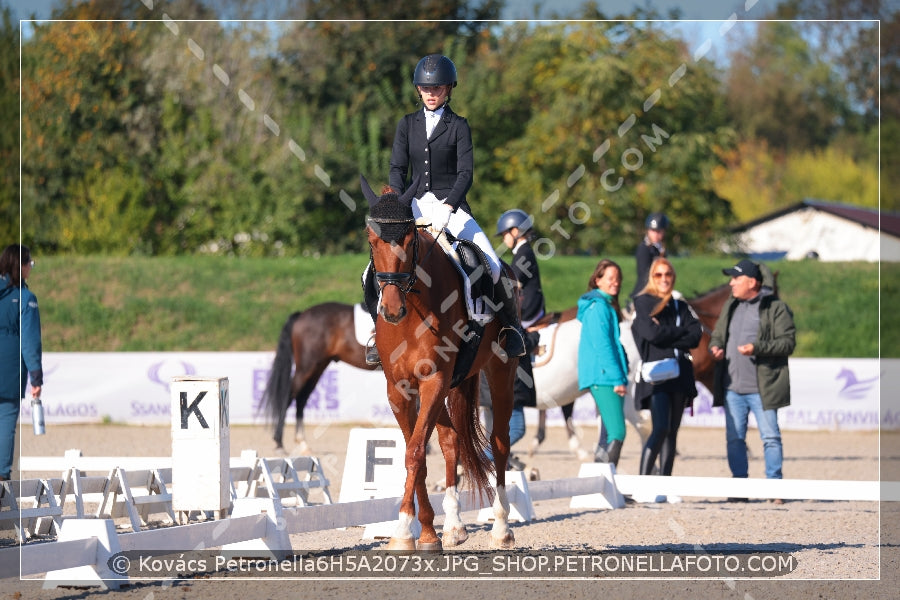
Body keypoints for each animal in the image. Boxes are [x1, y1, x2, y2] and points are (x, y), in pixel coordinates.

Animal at [260, 302, 372, 452]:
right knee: (290, 396)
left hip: (318, 367)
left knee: (301, 398)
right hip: (306, 367)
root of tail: (301, 315)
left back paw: (302, 443)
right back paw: (279, 442)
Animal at [364, 175, 520, 552]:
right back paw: (454, 526)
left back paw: (501, 527)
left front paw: (404, 531)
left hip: (500, 371)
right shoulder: (399, 390)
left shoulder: (433, 379)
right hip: (454, 382)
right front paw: (424, 532)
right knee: (452, 441)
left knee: (499, 442)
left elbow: (416, 451)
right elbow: (416, 454)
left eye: (408, 240)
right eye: (372, 240)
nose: (391, 310)